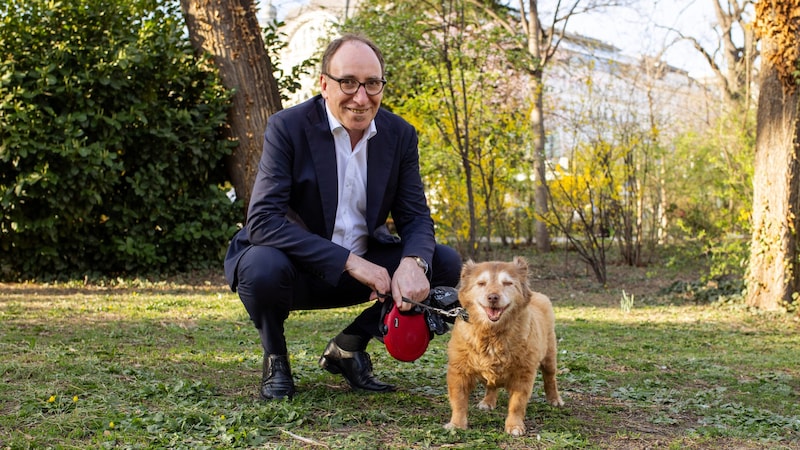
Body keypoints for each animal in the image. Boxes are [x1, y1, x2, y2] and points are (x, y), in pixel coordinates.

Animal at [444, 256, 564, 436]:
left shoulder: (523, 374)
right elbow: (459, 400)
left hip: (549, 357)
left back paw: (554, 399)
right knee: (491, 385)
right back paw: (488, 401)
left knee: (550, 378)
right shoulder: (459, 371)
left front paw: (514, 426)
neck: (492, 334)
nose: (493, 297)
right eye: (481, 283)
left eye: (507, 283)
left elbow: (517, 404)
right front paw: (457, 424)